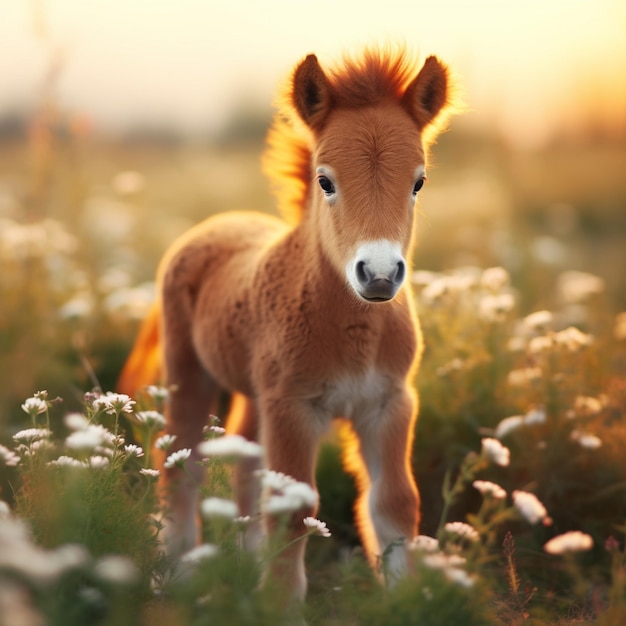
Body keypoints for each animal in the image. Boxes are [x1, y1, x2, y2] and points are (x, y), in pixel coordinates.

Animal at [118, 44, 454, 600]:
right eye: (325, 181)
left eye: (419, 181)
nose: (379, 274)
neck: (353, 332)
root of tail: (215, 224)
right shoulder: (294, 407)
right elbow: (294, 511)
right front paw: (279, 604)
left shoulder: (388, 403)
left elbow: (395, 503)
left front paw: (403, 601)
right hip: (191, 374)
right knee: (181, 468)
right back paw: (179, 575)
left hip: (257, 394)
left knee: (244, 469)